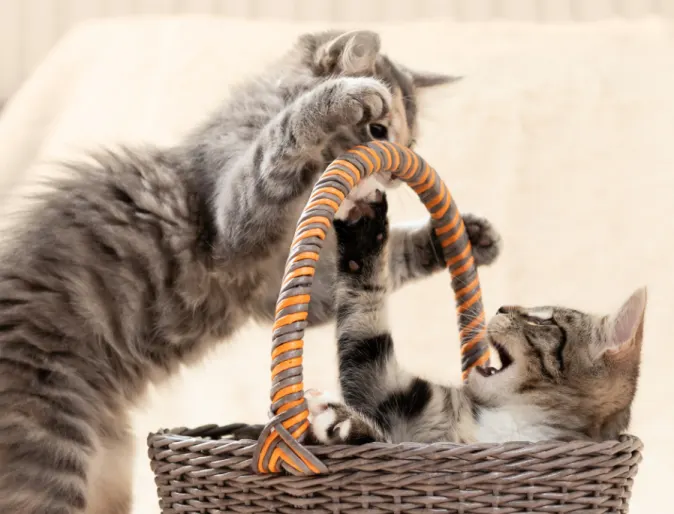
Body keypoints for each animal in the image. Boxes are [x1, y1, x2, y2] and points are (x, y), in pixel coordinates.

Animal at [0, 31, 498, 512]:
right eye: (377, 130)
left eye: (408, 146)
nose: (394, 173)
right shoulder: (236, 223)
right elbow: (281, 141)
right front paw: (342, 96)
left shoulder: (295, 284)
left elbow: (385, 260)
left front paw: (465, 236)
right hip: (51, 459)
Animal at [302, 191, 644, 444]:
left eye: (543, 320)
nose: (502, 308)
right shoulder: (397, 391)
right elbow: (364, 331)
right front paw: (363, 225)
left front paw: (342, 423)